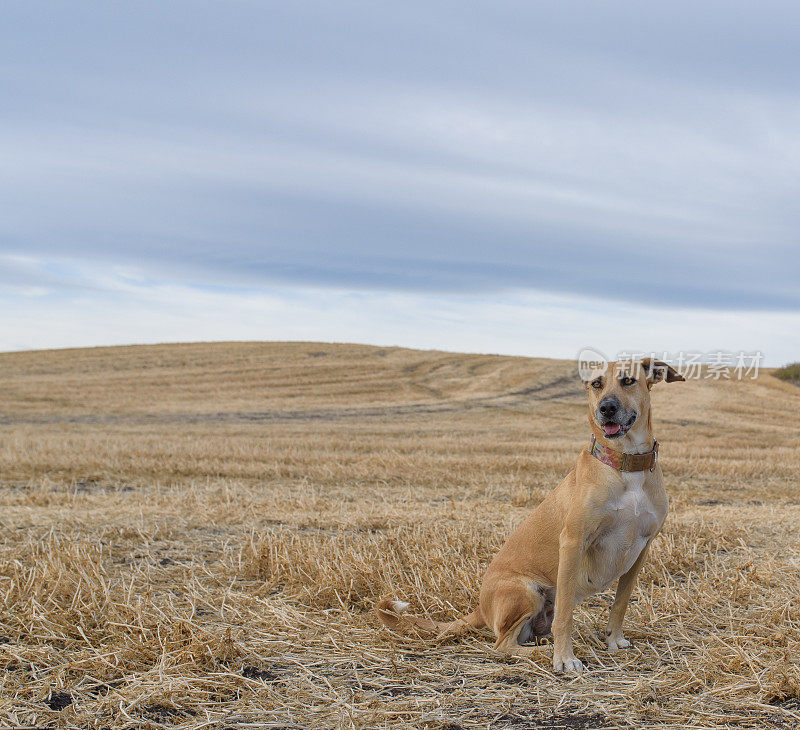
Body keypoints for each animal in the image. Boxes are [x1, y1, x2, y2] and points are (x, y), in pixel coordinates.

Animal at [378, 358, 684, 672]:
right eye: (596, 384)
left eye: (628, 381)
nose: (606, 408)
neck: (626, 465)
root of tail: (480, 607)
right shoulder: (573, 541)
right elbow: (565, 613)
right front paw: (565, 658)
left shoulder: (642, 547)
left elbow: (620, 602)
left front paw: (613, 639)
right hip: (526, 592)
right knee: (502, 646)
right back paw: (543, 652)